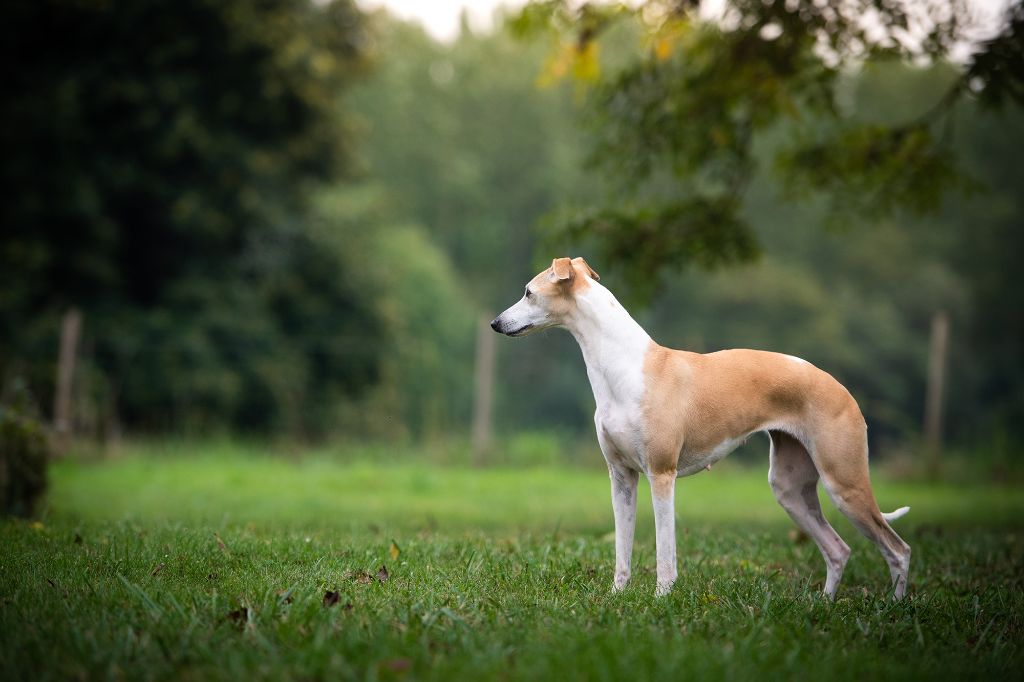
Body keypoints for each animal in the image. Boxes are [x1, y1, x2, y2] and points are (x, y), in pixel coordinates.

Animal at [493, 258, 913, 598]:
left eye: (529, 292)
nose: (496, 323)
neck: (625, 366)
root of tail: (840, 388)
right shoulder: (621, 476)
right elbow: (622, 548)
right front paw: (616, 596)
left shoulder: (662, 474)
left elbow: (665, 551)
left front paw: (661, 599)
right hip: (790, 488)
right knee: (839, 549)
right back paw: (823, 605)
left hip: (844, 482)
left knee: (898, 550)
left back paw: (893, 608)